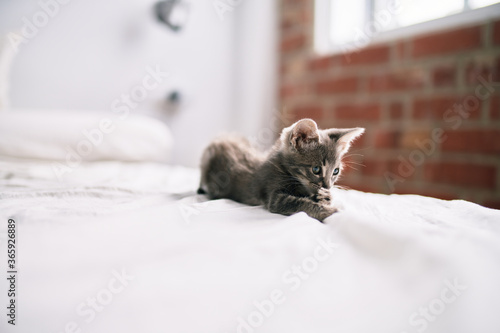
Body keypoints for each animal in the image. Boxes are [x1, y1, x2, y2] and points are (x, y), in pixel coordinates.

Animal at [197, 118, 366, 222]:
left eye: (336, 171)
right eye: (316, 169)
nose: (327, 186)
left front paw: (326, 197)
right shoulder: (275, 197)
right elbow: (300, 204)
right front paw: (331, 211)